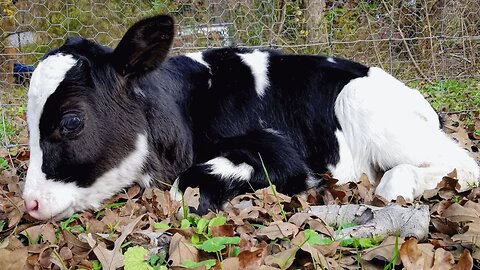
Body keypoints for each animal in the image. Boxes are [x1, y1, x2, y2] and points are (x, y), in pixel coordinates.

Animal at [23, 15, 480, 221]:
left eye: (71, 122)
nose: (29, 203)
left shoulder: (281, 151)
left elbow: (187, 184)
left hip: (363, 104)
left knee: (460, 164)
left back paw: (396, 184)